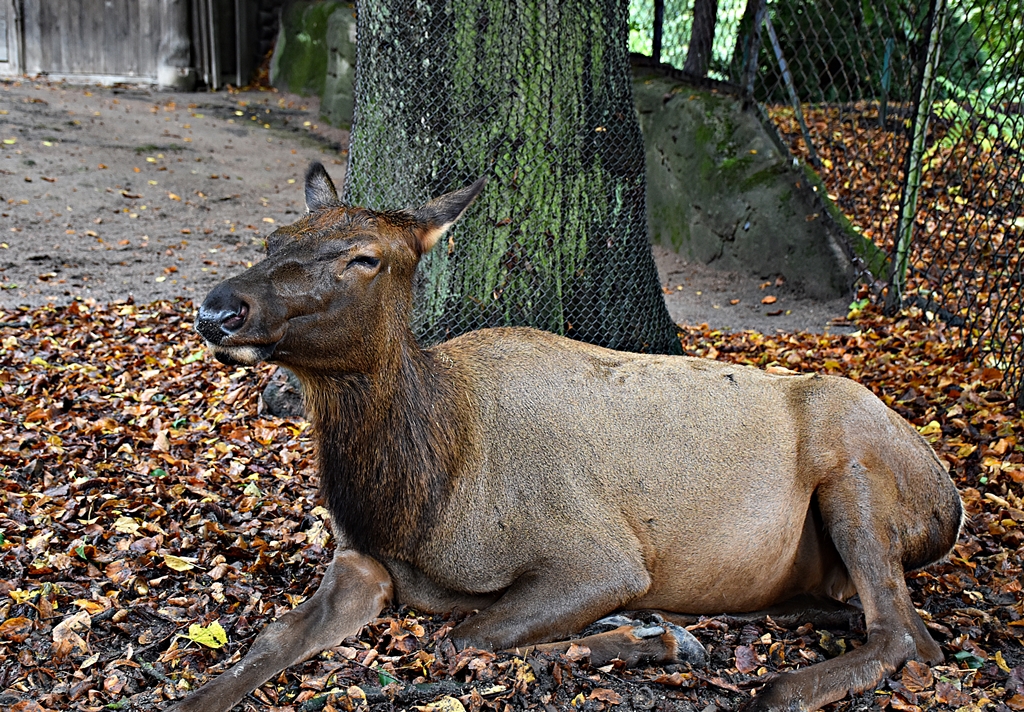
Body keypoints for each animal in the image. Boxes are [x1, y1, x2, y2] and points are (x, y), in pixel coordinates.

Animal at [181, 162, 963, 712]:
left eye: (365, 256)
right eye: (273, 240)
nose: (218, 309)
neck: (427, 497)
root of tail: (952, 504)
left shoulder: (599, 555)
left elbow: (469, 636)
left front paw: (647, 638)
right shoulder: (359, 557)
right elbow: (275, 636)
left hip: (854, 456)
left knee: (909, 634)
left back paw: (771, 684)